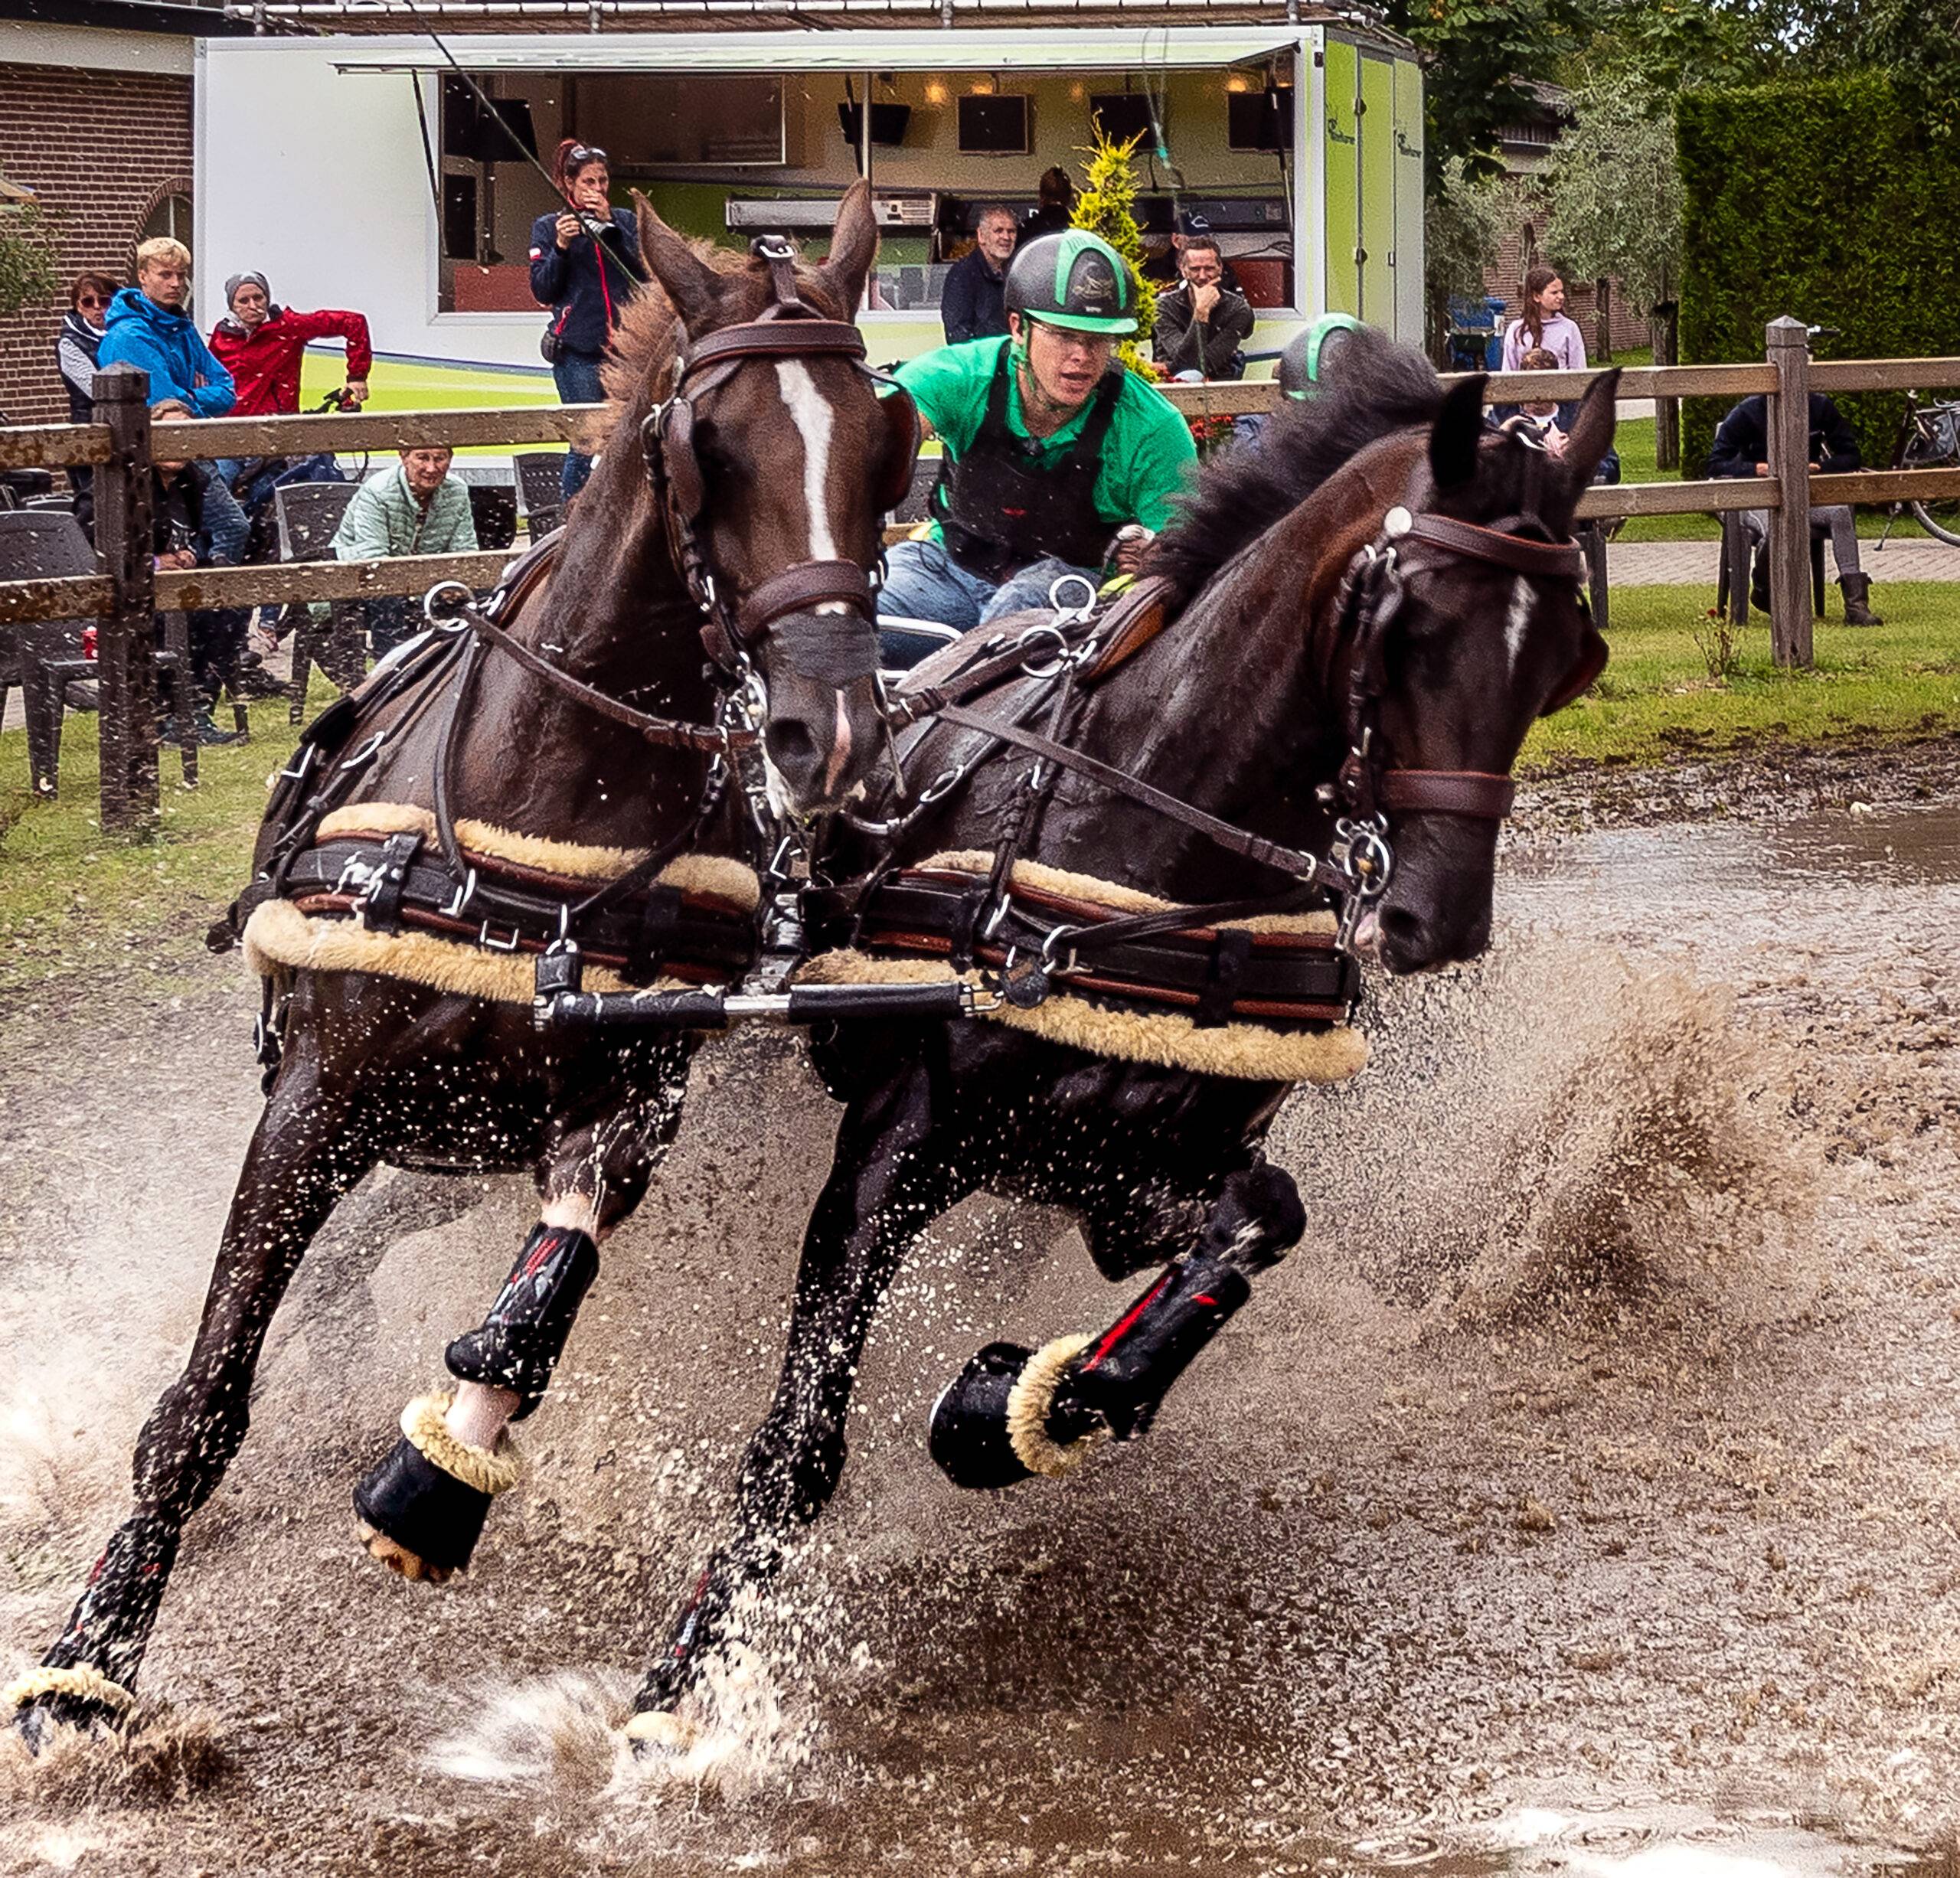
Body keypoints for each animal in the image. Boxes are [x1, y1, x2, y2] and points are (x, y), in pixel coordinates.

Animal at [8, 182, 919, 1748]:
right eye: (713, 445)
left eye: (886, 438)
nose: (837, 730)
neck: (546, 794)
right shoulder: (314, 1098)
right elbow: (204, 1400)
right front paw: (93, 1656)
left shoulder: (626, 1109)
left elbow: (536, 1310)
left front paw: (440, 1477)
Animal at [613, 332, 1621, 1734]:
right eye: (1414, 622)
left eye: (1569, 651)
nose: (1439, 917)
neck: (1143, 829)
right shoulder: (894, 1144)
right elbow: (796, 1448)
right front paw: (686, 1678)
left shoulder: (1124, 1180)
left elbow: (1254, 1224)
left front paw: (1011, 1404)